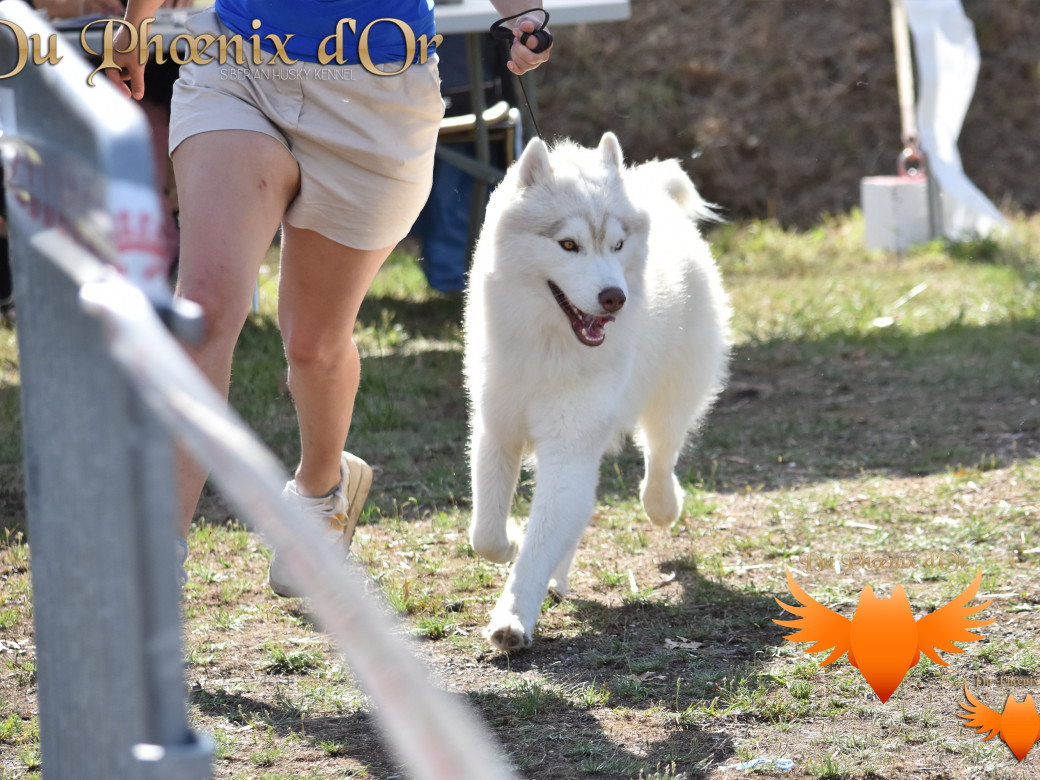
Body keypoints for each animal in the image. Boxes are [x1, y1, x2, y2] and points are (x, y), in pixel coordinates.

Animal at [463, 134, 732, 653]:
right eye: (568, 245)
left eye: (617, 245)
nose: (614, 298)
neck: (548, 345)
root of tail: (654, 192)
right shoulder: (496, 430)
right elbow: (486, 533)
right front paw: (511, 542)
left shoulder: (570, 446)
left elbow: (540, 539)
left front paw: (512, 616)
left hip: (672, 398)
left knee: (661, 457)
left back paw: (663, 506)